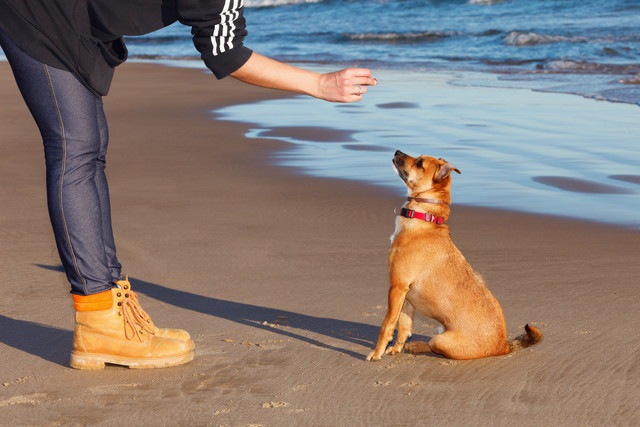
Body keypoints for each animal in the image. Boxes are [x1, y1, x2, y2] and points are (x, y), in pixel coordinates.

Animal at [368, 150, 544, 362]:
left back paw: (417, 346)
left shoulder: (397, 286)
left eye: (419, 163)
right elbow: (403, 325)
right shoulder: (406, 296)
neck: (424, 218)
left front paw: (377, 353)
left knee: (432, 344)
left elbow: (387, 324)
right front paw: (395, 349)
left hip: (441, 339)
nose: (396, 152)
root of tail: (503, 345)